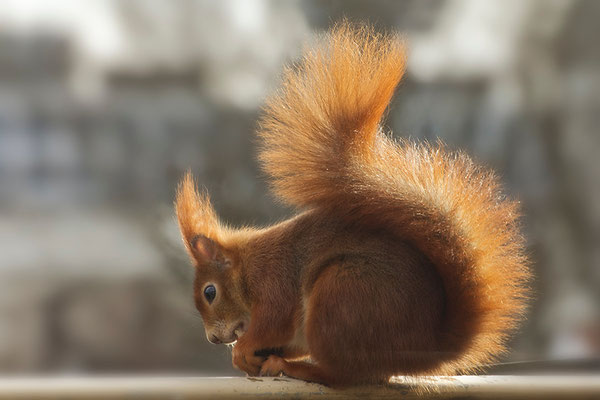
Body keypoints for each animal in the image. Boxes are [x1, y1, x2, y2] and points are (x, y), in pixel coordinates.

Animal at [173, 22, 528, 388]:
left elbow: (274, 322)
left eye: (210, 293)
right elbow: (287, 339)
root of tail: (424, 349)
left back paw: (299, 369)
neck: (247, 266)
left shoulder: (274, 283)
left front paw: (245, 349)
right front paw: (248, 357)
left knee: (343, 374)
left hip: (342, 295)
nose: (214, 339)